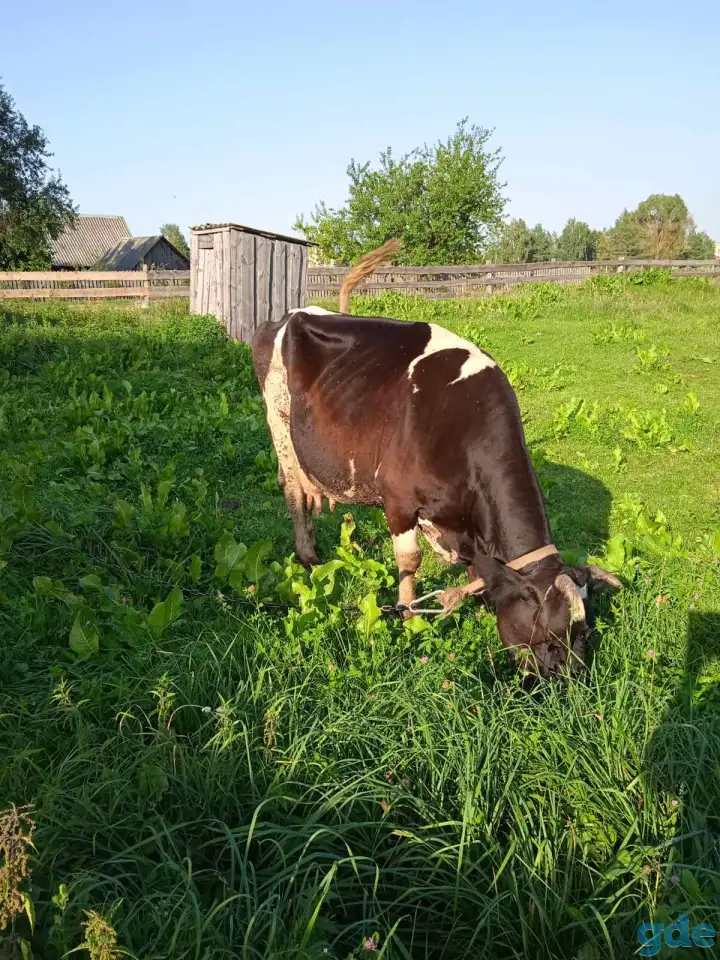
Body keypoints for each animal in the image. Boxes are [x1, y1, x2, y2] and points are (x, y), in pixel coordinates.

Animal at [251, 241, 621, 677]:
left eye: (586, 633)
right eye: (547, 635)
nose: (571, 682)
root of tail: (292, 314)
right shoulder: (397, 499)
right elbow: (409, 561)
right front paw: (408, 615)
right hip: (281, 429)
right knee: (295, 494)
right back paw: (309, 558)